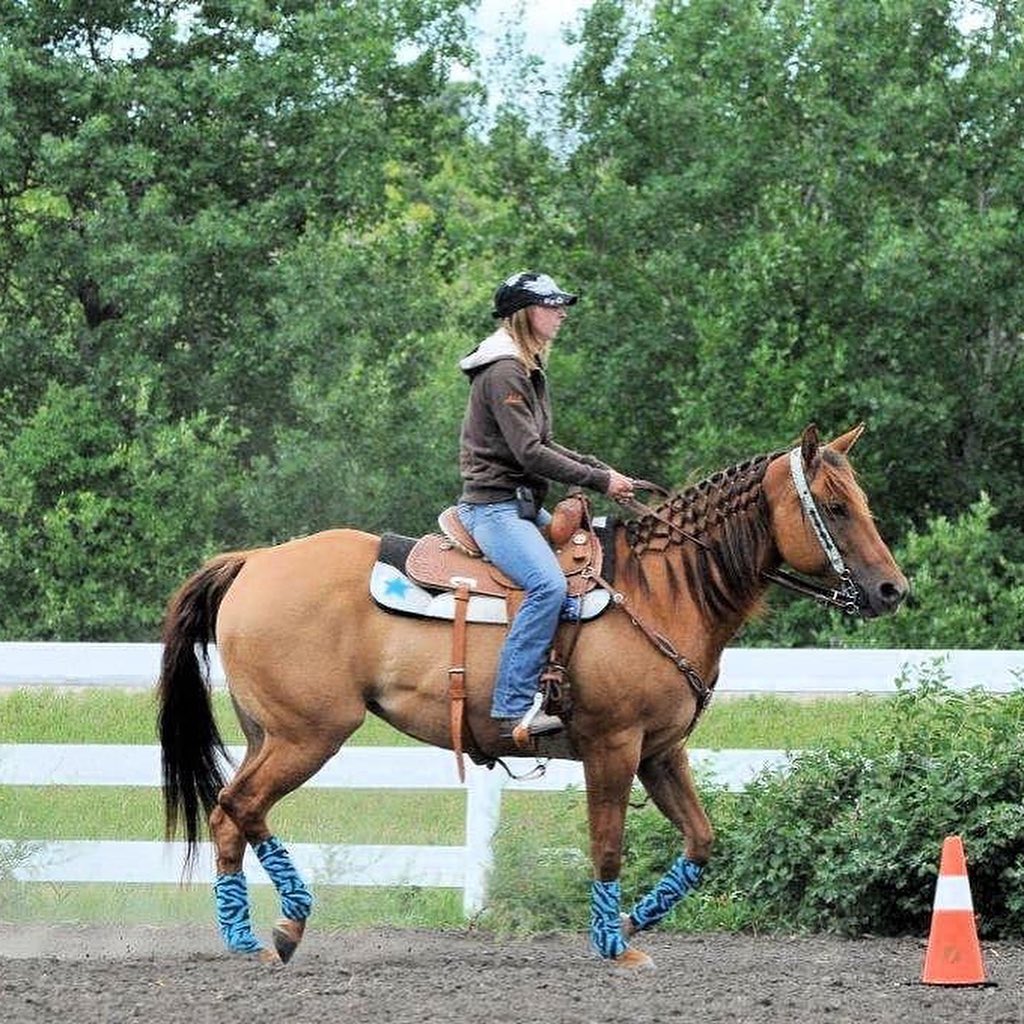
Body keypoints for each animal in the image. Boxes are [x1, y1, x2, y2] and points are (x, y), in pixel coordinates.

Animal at [157, 423, 908, 969]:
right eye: (835, 508)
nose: (893, 590)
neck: (660, 591)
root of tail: (254, 561)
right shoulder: (613, 747)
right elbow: (607, 845)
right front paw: (615, 947)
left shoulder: (661, 752)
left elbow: (700, 841)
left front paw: (630, 921)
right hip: (308, 735)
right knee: (241, 806)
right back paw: (288, 923)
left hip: (269, 734)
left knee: (229, 815)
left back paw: (245, 938)